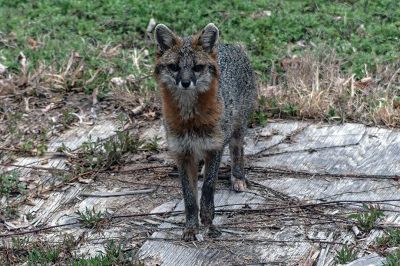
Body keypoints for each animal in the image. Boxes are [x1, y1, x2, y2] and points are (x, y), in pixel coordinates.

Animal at [153, 22, 256, 241]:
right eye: (174, 67)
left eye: (197, 67)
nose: (185, 82)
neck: (190, 118)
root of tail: (231, 46)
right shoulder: (182, 153)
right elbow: (190, 198)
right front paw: (191, 228)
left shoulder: (214, 147)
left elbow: (208, 190)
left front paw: (209, 224)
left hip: (237, 128)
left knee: (237, 150)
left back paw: (238, 177)